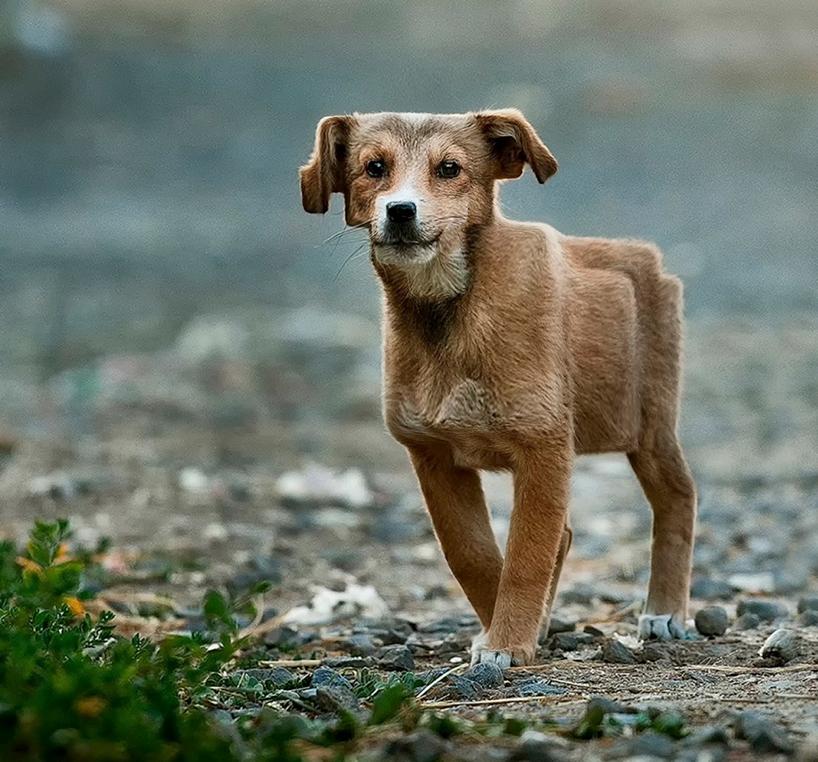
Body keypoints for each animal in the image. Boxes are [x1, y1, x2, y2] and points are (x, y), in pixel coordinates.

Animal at [300, 108, 696, 664]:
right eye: (374, 167)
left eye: (449, 169)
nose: (400, 211)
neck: (449, 309)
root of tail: (646, 257)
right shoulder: (433, 455)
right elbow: (474, 555)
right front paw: (507, 632)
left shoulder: (544, 447)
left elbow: (525, 556)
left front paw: (507, 642)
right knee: (565, 533)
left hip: (651, 426)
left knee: (678, 499)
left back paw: (665, 611)